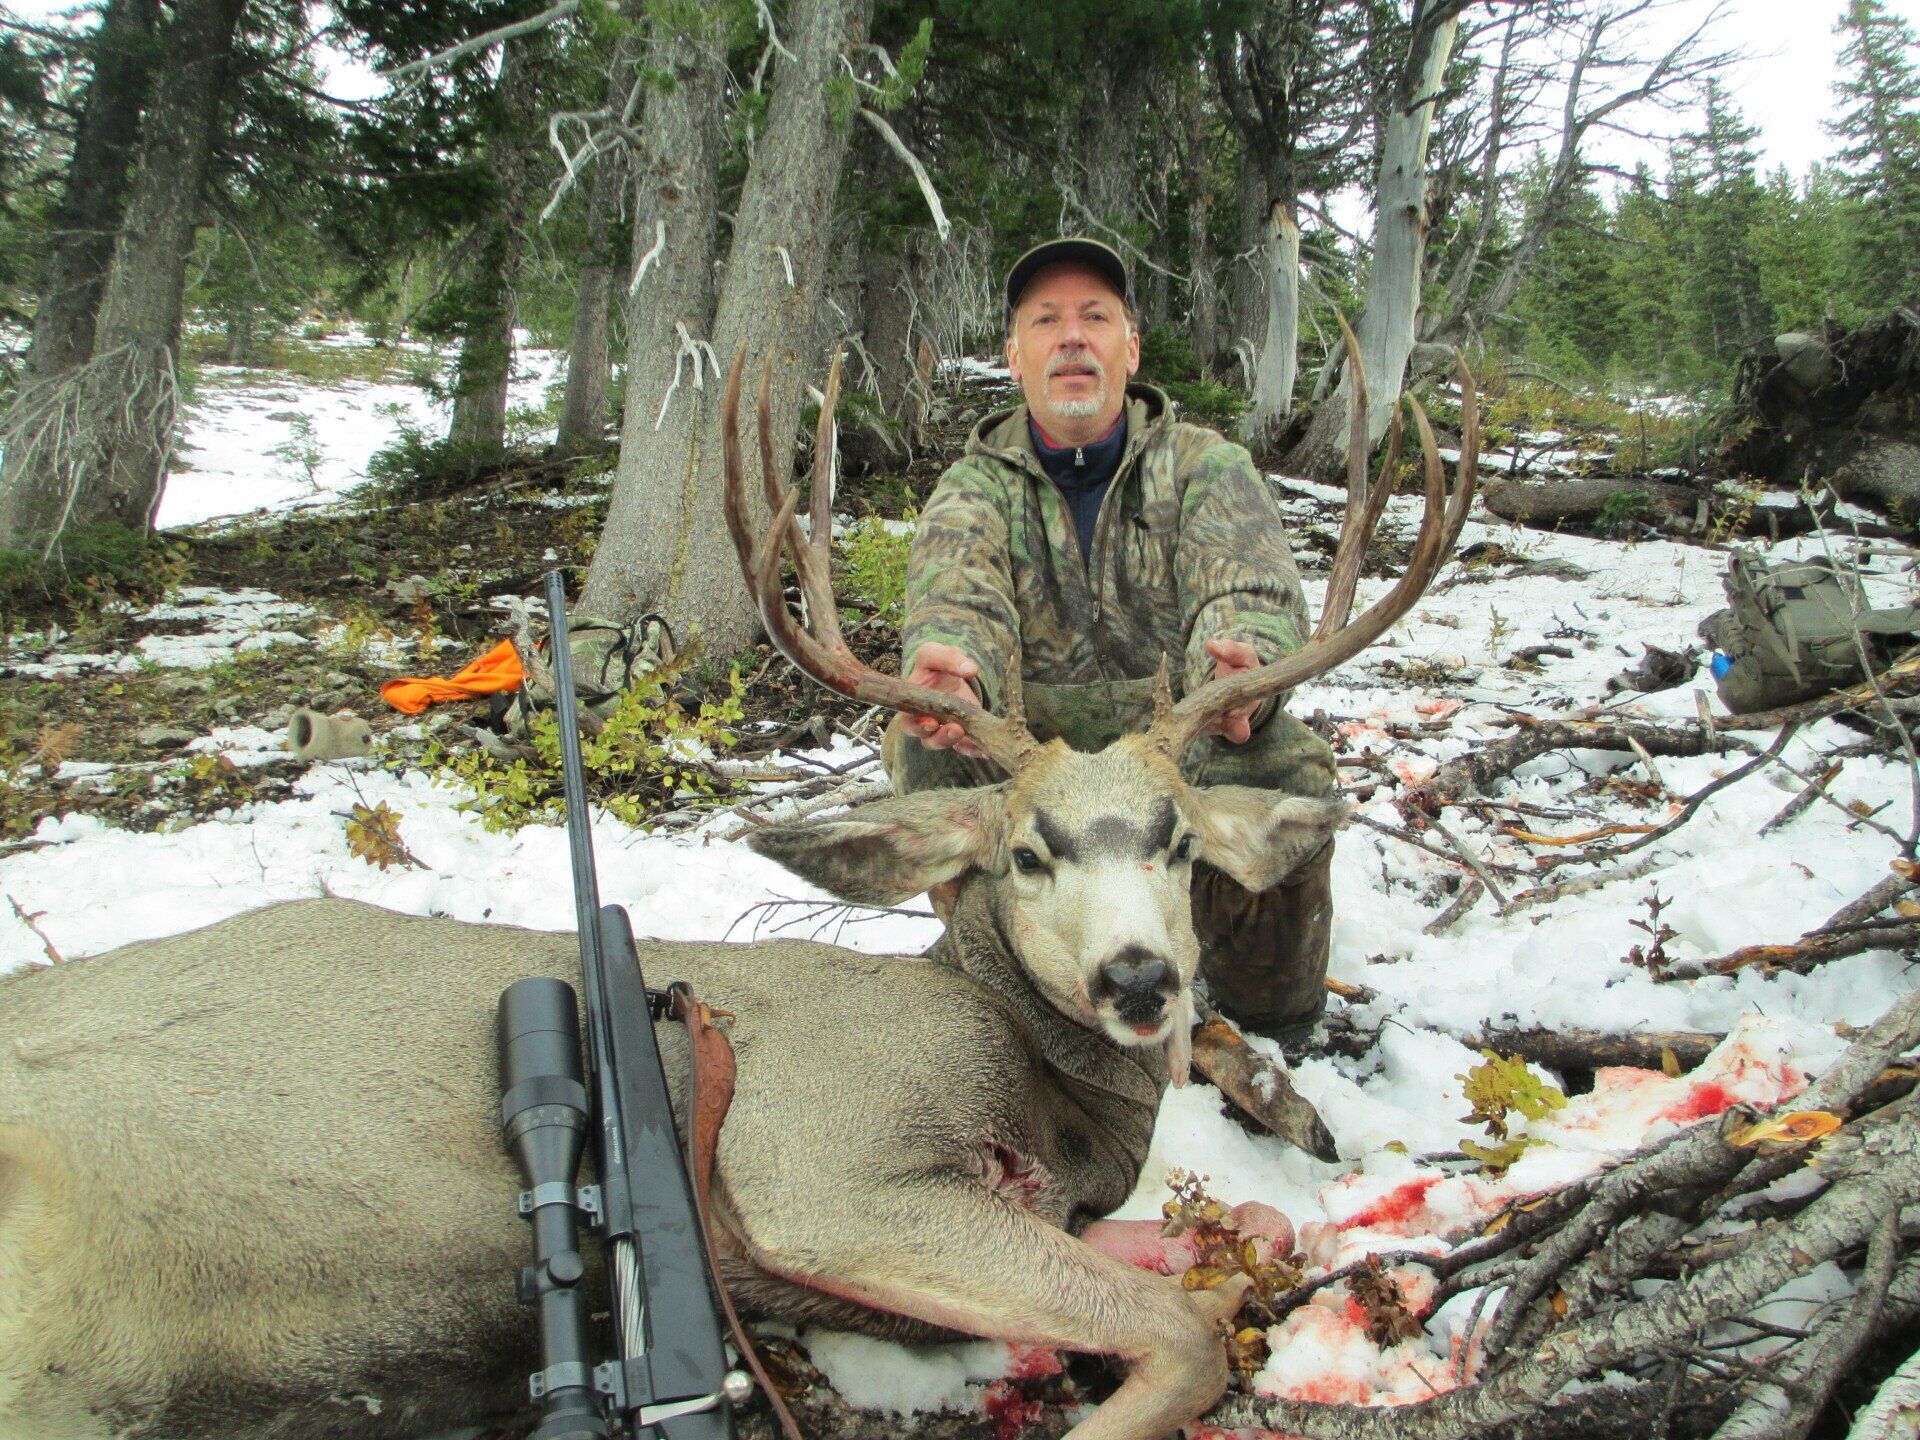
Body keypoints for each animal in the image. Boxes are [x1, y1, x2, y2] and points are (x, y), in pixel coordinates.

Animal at [0, 344, 1475, 1440]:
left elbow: (1240, 1250)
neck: (1048, 1102)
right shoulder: (817, 1160)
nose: (1140, 980)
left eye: (1175, 840)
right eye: (1026, 851)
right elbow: (1185, 1336)